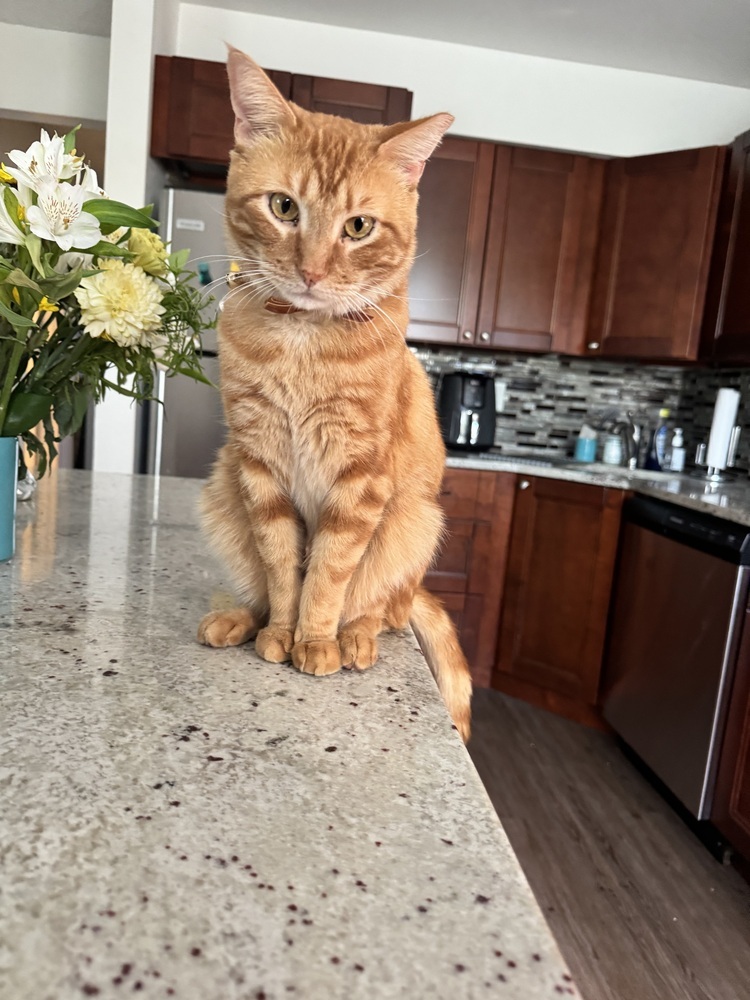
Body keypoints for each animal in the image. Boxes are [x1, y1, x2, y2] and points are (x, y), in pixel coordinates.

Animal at [197, 47, 472, 740]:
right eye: (283, 207)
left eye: (359, 227)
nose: (312, 271)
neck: (302, 341)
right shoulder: (259, 465)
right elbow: (280, 563)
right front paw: (280, 631)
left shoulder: (360, 478)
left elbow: (328, 569)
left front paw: (314, 640)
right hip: (221, 489)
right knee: (255, 584)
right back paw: (239, 620)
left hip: (415, 523)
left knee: (382, 606)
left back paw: (354, 638)